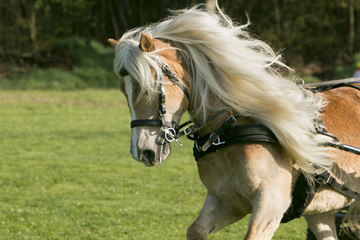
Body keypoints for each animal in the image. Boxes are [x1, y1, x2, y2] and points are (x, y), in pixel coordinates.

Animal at [109, 3, 360, 240]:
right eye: (123, 91)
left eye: (150, 88)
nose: (143, 152)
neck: (226, 130)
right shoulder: (227, 201)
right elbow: (196, 230)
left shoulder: (271, 203)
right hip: (320, 212)